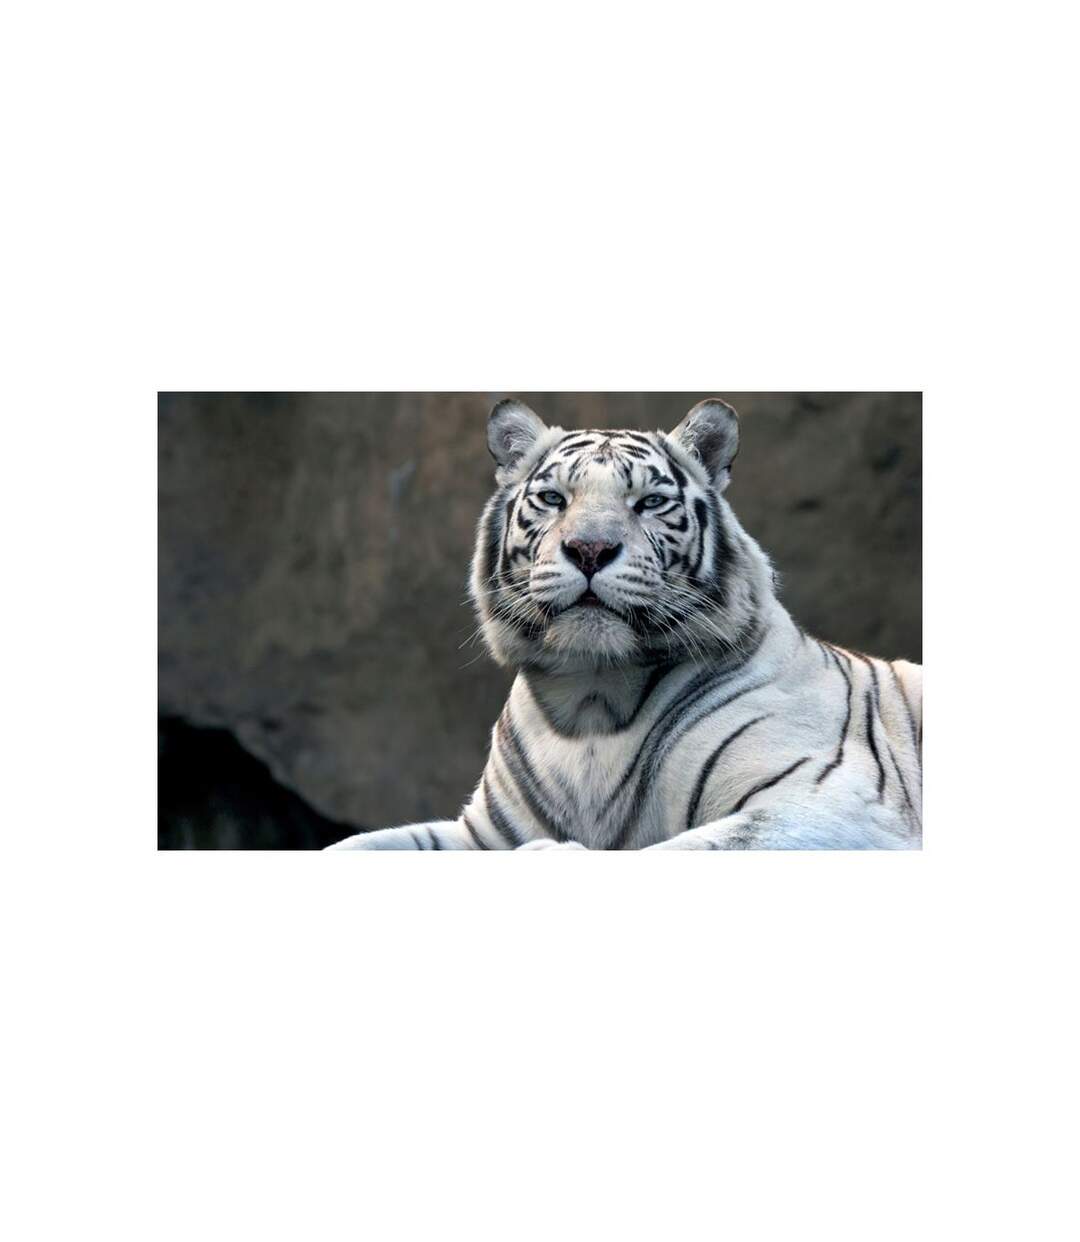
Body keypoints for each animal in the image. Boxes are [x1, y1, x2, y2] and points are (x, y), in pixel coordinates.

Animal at [327, 397, 922, 850]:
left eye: (650, 502)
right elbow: (358, 844)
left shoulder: (829, 799)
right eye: (553, 498)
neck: (589, 702)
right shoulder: (482, 834)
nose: (590, 549)